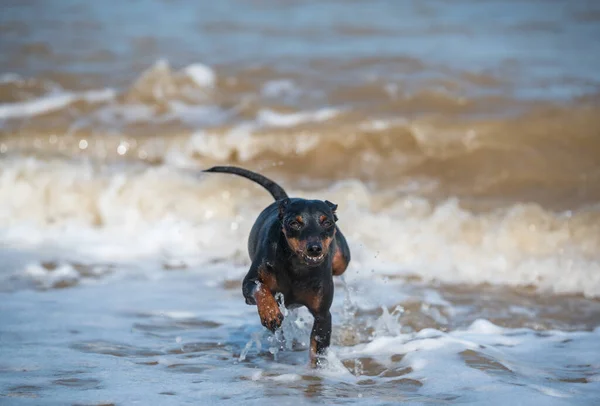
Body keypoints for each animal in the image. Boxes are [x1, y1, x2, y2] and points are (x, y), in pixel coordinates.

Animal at [204, 165, 350, 364]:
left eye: (326, 222)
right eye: (294, 223)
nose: (315, 249)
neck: (298, 266)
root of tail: (285, 200)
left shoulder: (323, 315)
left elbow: (317, 350)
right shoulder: (249, 285)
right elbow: (259, 288)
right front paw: (270, 314)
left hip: (342, 258)